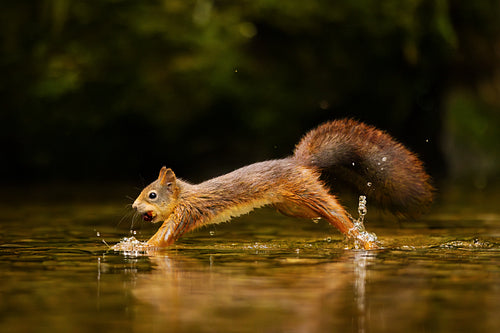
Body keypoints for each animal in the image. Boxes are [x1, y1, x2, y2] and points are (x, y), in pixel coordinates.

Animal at [133, 119, 434, 249]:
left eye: (151, 195)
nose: (134, 206)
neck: (184, 195)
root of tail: (298, 163)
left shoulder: (186, 212)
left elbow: (163, 237)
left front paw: (133, 247)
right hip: (290, 207)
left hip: (306, 192)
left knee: (335, 212)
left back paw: (360, 238)